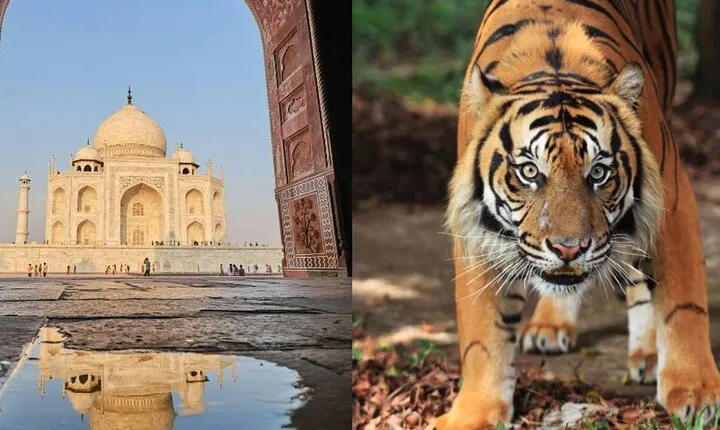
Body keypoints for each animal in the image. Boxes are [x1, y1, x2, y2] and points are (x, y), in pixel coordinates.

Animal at [434, 1, 720, 429]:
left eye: (598, 173)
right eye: (529, 172)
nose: (569, 249)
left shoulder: (671, 204)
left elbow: (683, 305)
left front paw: (696, 393)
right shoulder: (476, 229)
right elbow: (482, 333)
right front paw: (474, 413)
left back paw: (649, 353)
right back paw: (551, 324)